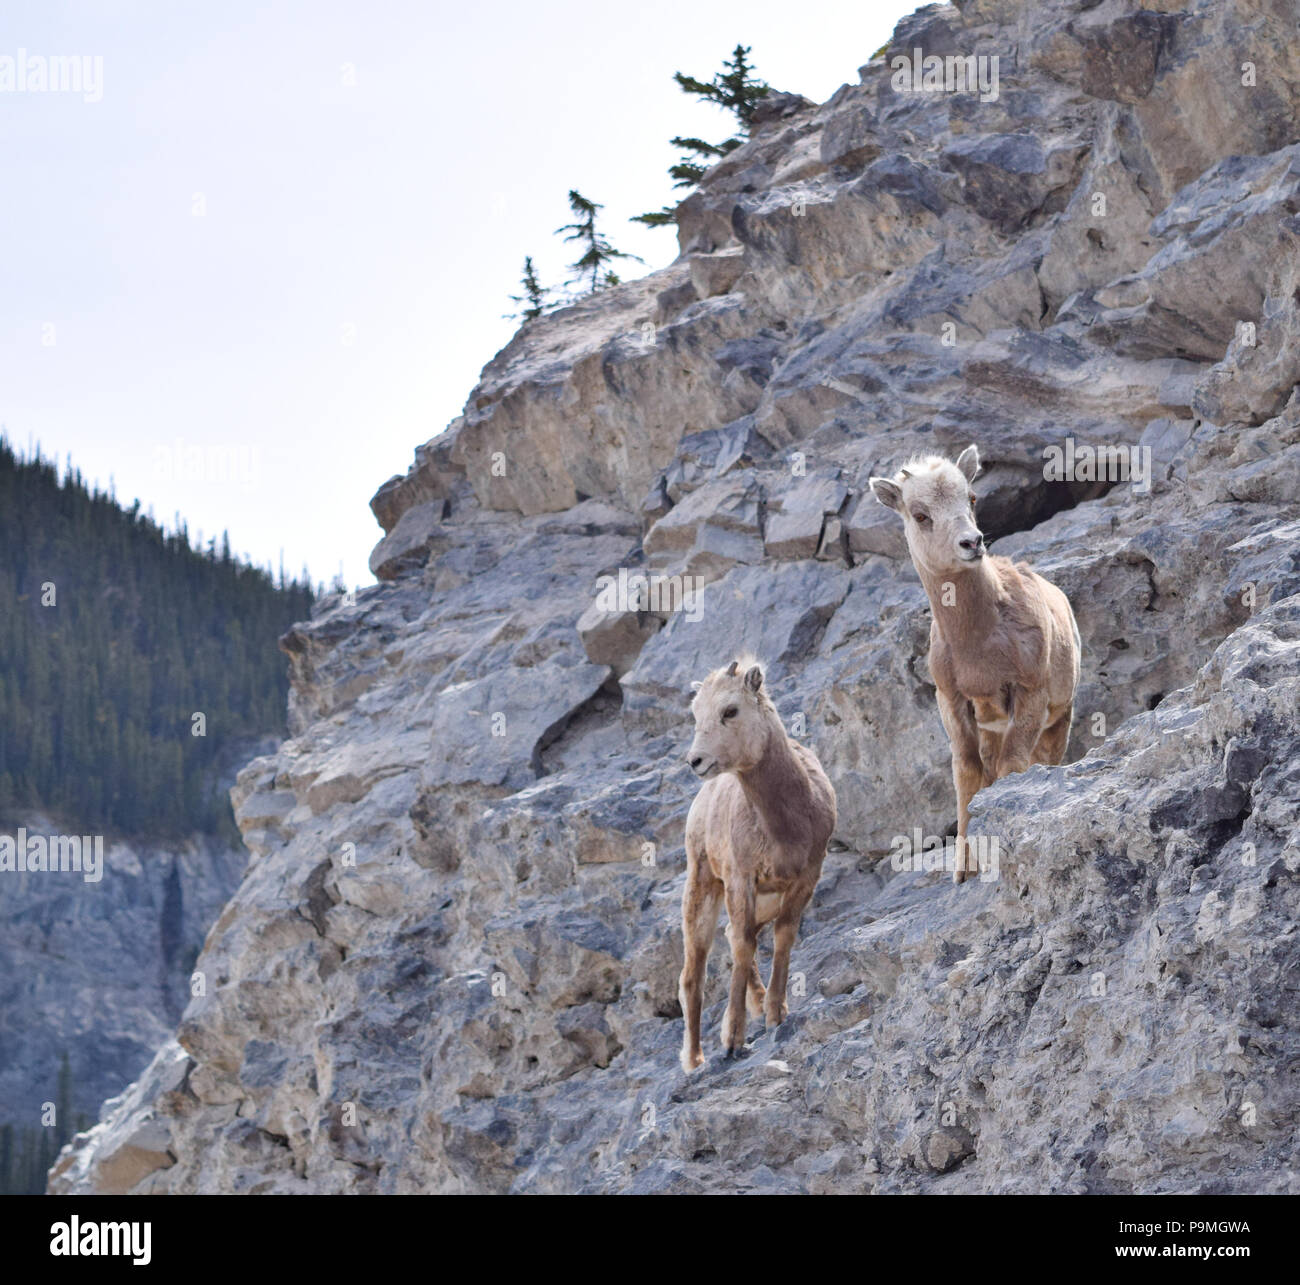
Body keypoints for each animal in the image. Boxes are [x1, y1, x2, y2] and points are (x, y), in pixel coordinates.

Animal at [681, 658, 832, 1071]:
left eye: (730, 710)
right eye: (696, 714)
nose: (696, 761)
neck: (784, 824)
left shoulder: (805, 878)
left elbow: (782, 937)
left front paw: (775, 1013)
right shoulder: (740, 879)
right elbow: (744, 947)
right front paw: (733, 1040)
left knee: (732, 935)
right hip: (703, 888)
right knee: (694, 973)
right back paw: (695, 1059)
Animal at [873, 447, 1086, 879]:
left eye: (970, 497)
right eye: (920, 514)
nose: (972, 543)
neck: (978, 644)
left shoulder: (1029, 694)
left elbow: (1012, 766)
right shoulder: (953, 703)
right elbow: (968, 775)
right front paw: (964, 870)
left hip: (1059, 716)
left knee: (1043, 758)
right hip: (993, 727)